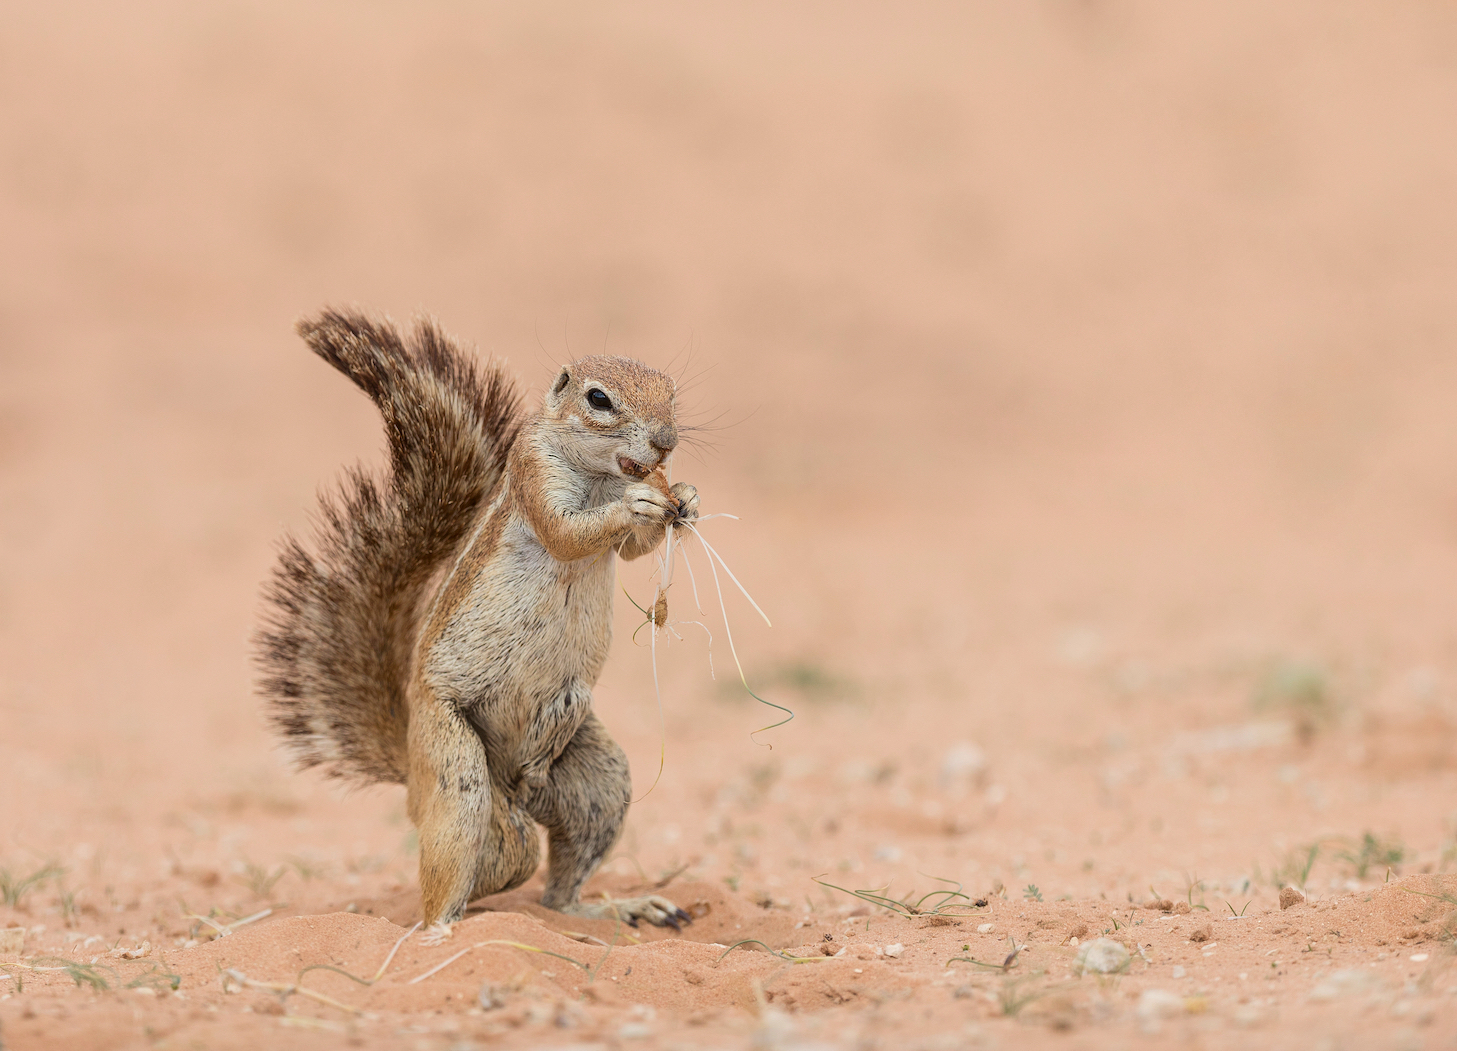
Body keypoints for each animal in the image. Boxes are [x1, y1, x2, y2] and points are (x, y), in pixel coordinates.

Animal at [256, 307, 699, 932]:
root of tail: (413, 776)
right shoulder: (534, 471)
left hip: (596, 779)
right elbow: (567, 533)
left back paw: (613, 909)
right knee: (475, 868)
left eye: (671, 392)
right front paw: (639, 502)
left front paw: (684, 494)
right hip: (458, 769)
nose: (665, 441)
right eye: (598, 398)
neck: (603, 474)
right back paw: (444, 930)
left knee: (552, 888)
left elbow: (635, 550)